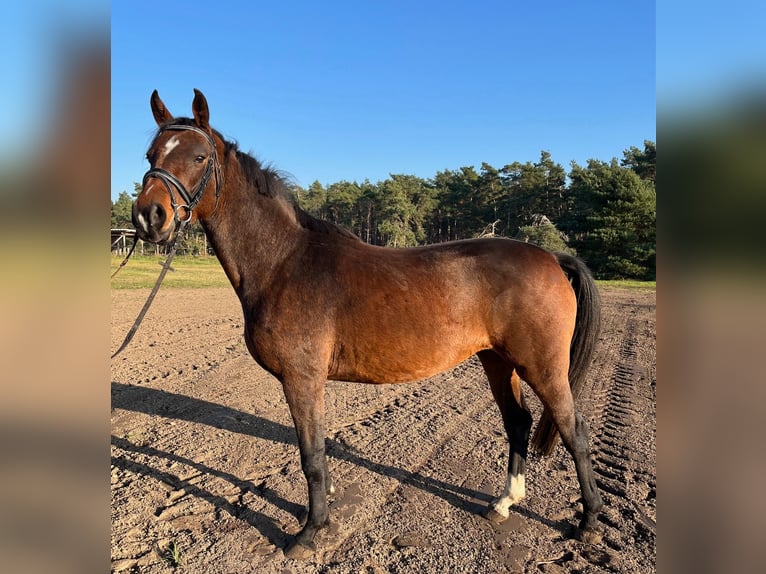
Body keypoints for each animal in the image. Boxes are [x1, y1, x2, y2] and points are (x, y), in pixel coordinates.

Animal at [131, 89, 603, 559]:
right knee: (518, 422)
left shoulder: (301, 378)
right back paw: (504, 503)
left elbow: (310, 456)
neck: (284, 261)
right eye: (151, 154)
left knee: (574, 430)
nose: (149, 216)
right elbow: (318, 450)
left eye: (198, 157)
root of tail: (551, 257)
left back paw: (588, 523)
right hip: (497, 361)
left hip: (541, 367)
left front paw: (309, 531)